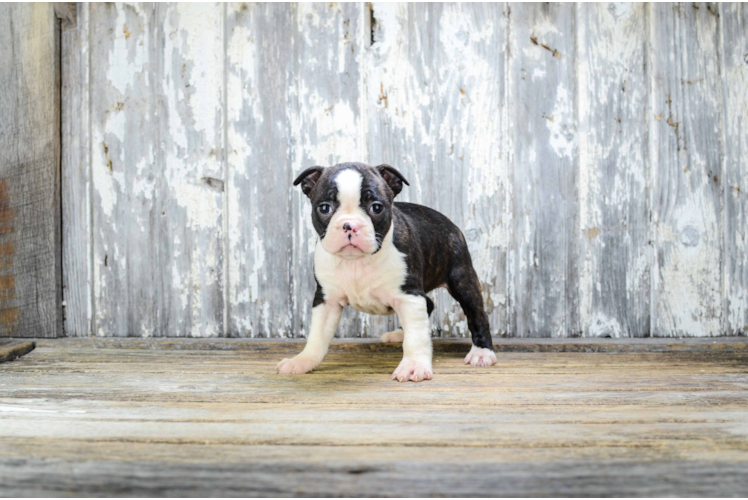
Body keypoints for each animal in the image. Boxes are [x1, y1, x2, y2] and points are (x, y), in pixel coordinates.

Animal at [276, 162, 496, 380]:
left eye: (376, 207)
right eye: (324, 208)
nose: (350, 225)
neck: (356, 261)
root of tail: (449, 223)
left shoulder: (409, 296)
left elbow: (417, 337)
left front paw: (413, 366)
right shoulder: (326, 301)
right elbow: (317, 337)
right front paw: (303, 361)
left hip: (462, 279)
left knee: (477, 314)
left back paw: (482, 352)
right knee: (429, 303)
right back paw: (400, 333)